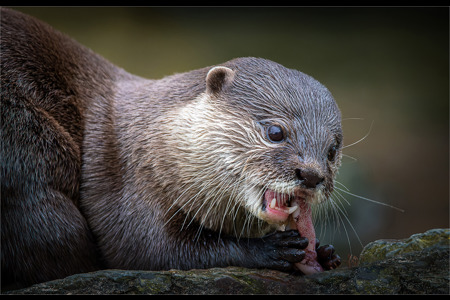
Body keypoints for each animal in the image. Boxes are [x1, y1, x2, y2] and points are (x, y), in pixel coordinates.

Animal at [0, 7, 342, 288]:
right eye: (275, 132)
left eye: (332, 151)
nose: (311, 175)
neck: (152, 142)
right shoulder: (130, 184)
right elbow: (153, 252)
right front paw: (271, 248)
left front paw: (325, 252)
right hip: (28, 160)